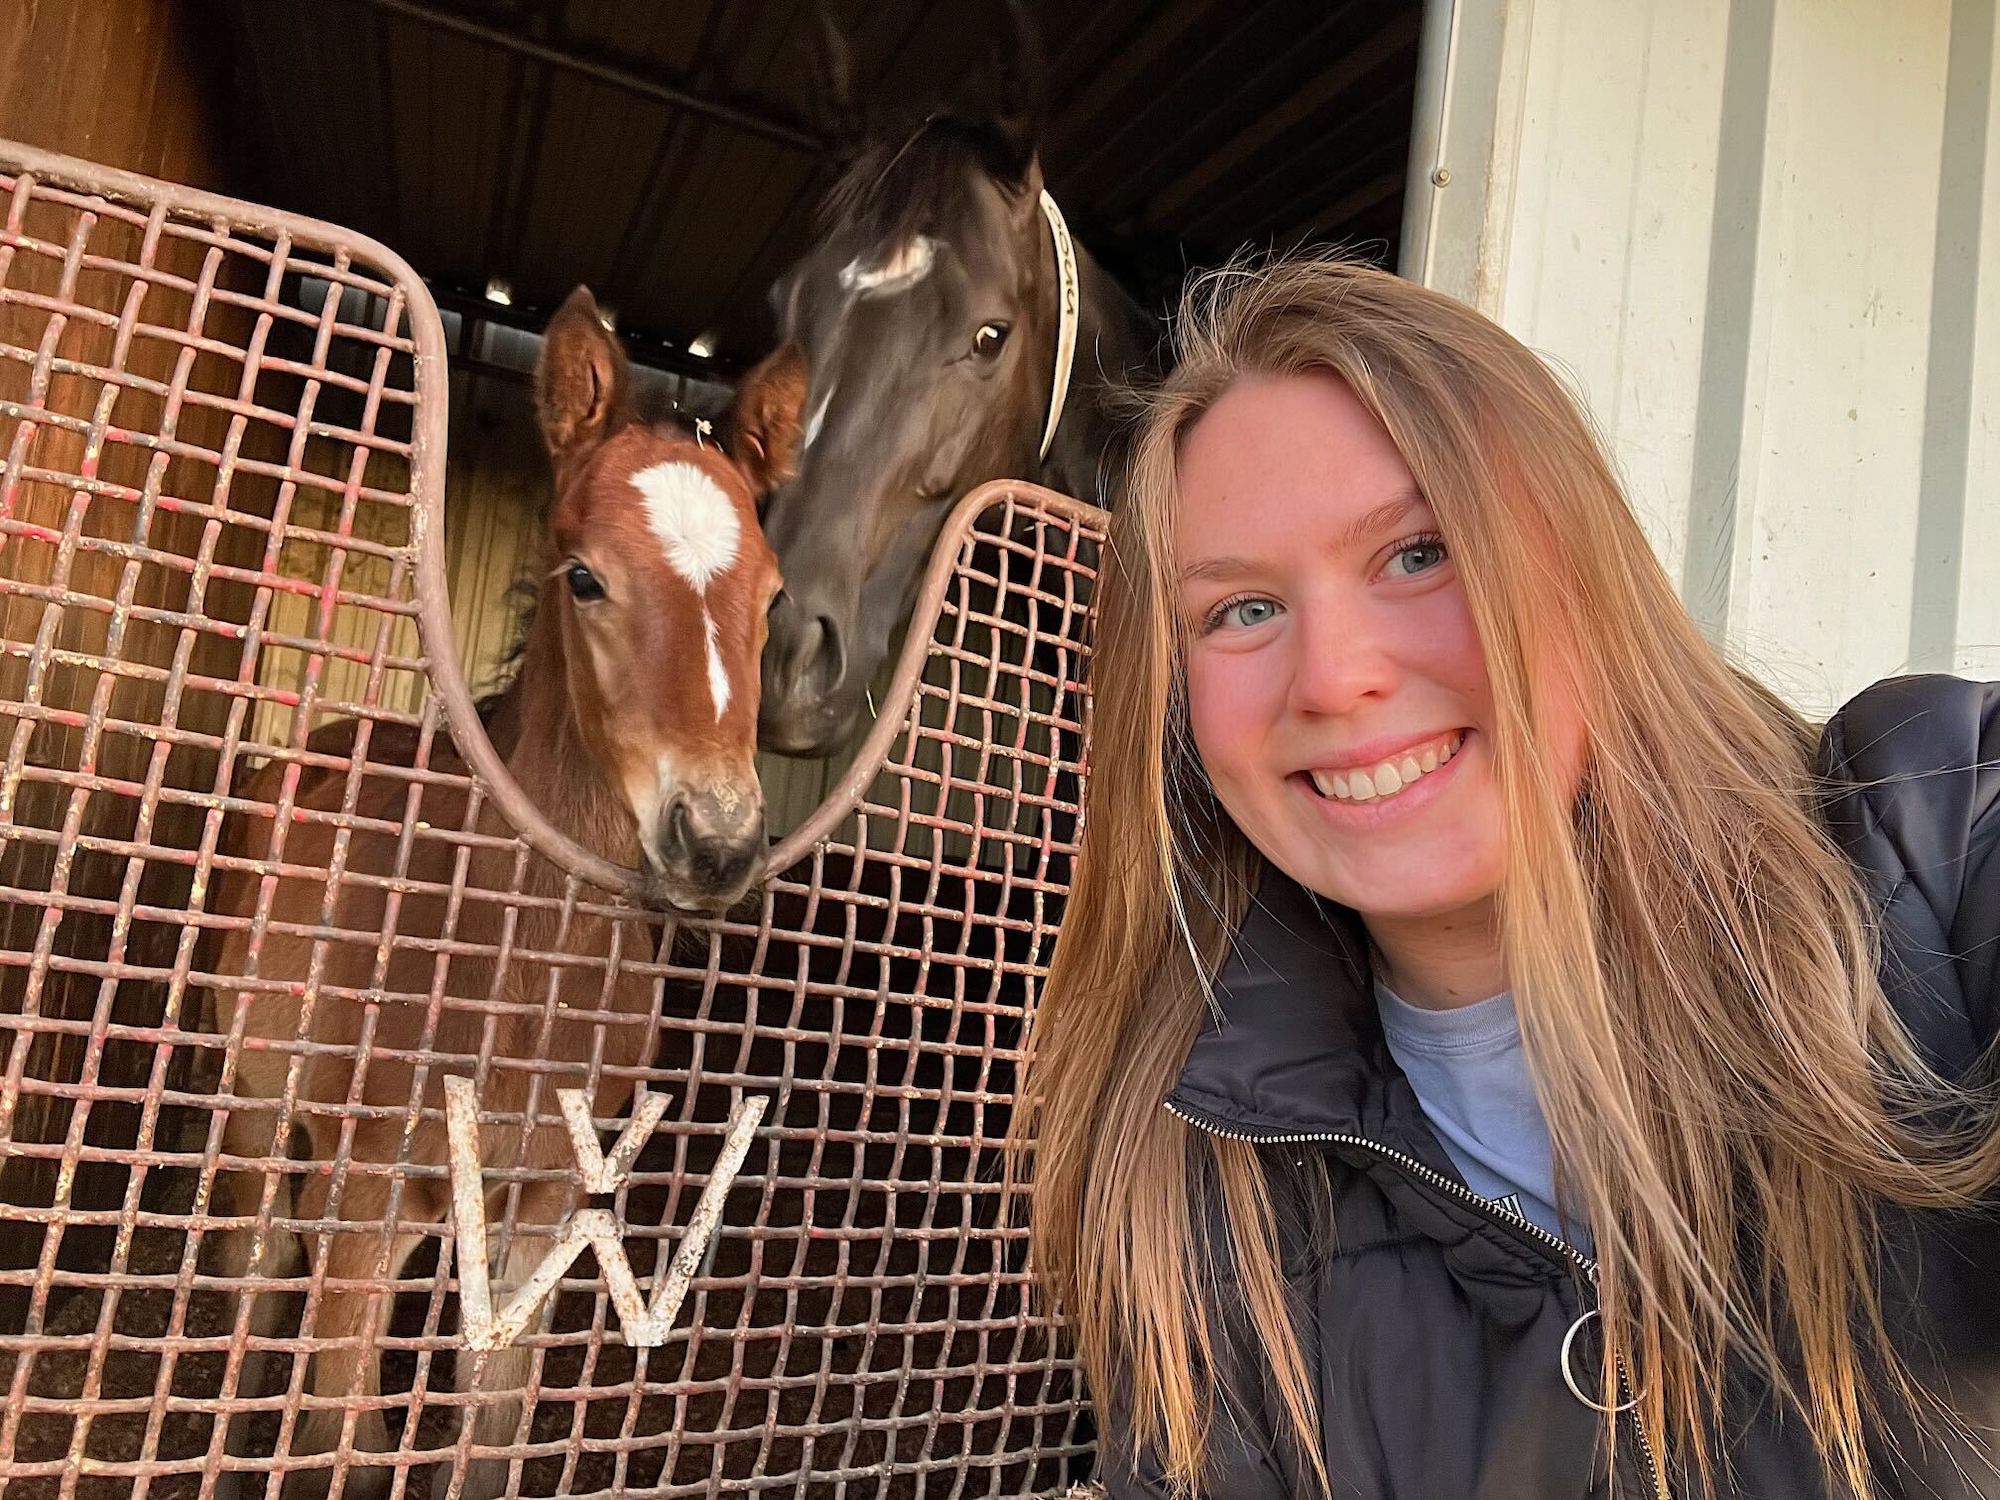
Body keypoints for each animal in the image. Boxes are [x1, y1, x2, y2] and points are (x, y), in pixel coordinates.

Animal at [206, 286, 780, 1500]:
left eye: (771, 599)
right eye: (586, 577)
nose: (714, 842)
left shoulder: (548, 1209)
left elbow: (489, 1433)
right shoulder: (366, 1195)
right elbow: (343, 1436)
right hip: (258, 1113)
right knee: (251, 1266)